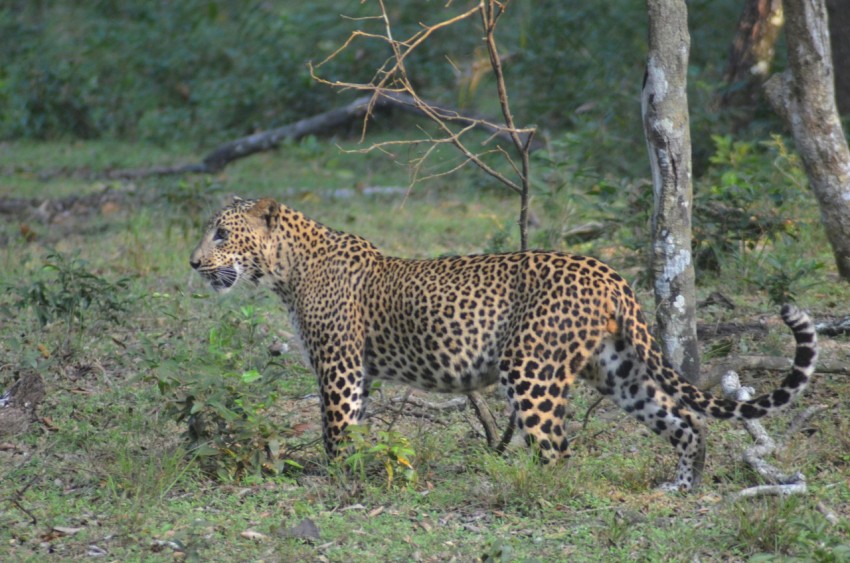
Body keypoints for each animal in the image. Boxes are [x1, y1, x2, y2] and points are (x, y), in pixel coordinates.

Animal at [190, 197, 816, 490]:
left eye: (221, 233)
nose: (194, 262)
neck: (284, 270)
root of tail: (609, 274)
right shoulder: (358, 373)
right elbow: (358, 432)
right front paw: (360, 473)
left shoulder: (340, 368)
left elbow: (337, 431)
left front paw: (336, 483)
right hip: (619, 371)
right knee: (686, 423)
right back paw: (680, 488)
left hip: (530, 367)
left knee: (556, 450)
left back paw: (523, 492)